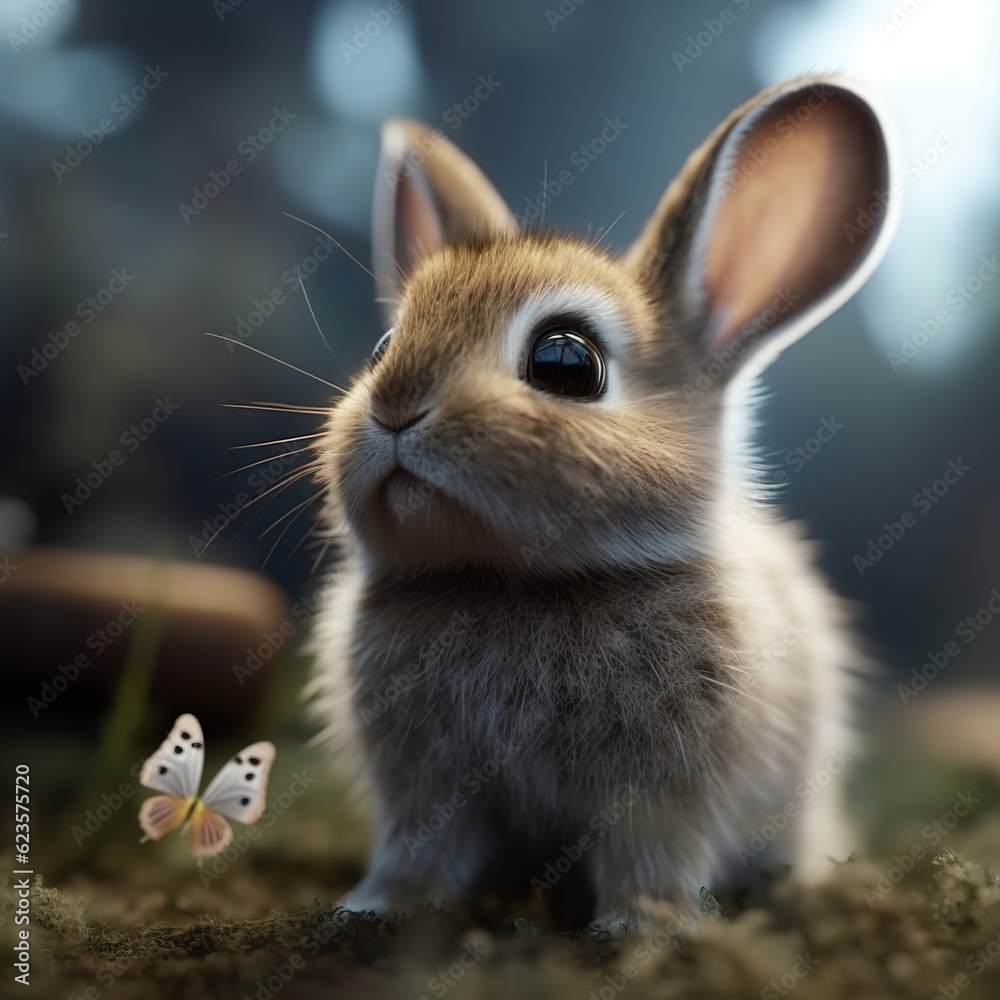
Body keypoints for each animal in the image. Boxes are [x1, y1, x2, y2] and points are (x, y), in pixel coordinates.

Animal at [306, 75, 896, 933]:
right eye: (384, 349)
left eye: (565, 361)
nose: (394, 409)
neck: (512, 585)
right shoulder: (422, 785)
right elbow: (418, 845)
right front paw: (378, 909)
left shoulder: (669, 787)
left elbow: (653, 853)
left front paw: (644, 929)